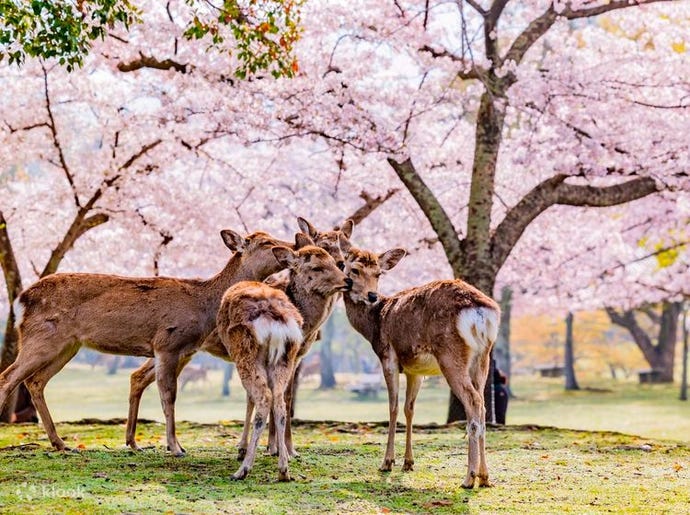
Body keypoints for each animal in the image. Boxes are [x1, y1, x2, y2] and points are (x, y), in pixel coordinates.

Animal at [0, 230, 292, 456]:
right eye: (265, 242)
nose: (289, 247)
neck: (203, 305)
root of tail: (21, 301)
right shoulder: (167, 343)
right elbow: (169, 395)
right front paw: (176, 447)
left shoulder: (180, 350)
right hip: (42, 337)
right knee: (9, 377)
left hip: (67, 345)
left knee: (35, 381)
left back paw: (61, 443)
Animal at [218, 236, 352, 482]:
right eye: (317, 267)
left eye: (337, 262)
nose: (347, 280)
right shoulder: (296, 356)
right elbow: (284, 399)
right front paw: (280, 450)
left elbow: (253, 399)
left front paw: (254, 448)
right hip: (280, 358)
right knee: (278, 401)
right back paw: (282, 469)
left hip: (246, 353)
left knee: (264, 398)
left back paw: (244, 469)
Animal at [340, 244, 500, 490]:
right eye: (355, 270)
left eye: (378, 273)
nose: (371, 296)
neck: (374, 324)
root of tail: (481, 313)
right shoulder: (415, 371)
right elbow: (410, 409)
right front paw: (408, 463)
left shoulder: (388, 357)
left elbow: (393, 407)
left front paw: (387, 462)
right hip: (483, 358)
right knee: (482, 404)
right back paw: (485, 477)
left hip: (450, 355)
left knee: (473, 401)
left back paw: (468, 478)